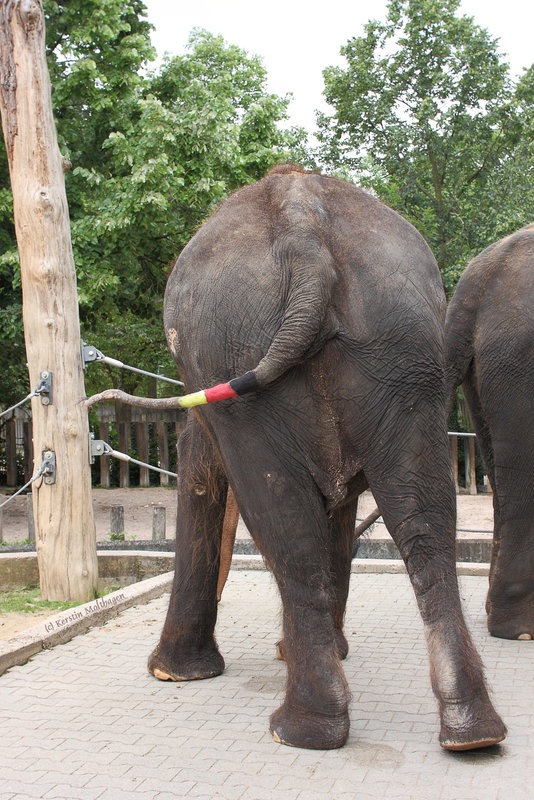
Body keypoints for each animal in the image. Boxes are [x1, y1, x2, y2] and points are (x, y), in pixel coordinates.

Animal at [88, 166, 506, 752]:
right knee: (423, 520)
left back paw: (298, 731)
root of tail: (303, 231)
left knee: (285, 525)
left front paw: (173, 674)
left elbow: (206, 475)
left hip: (237, 349)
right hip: (404, 348)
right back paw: (472, 734)